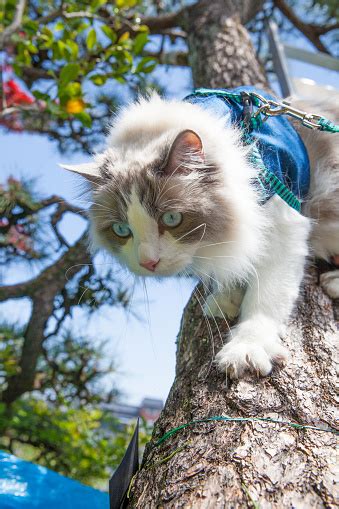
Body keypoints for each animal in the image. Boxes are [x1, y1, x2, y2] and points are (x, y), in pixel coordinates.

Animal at [61, 90, 339, 378]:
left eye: (172, 219)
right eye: (121, 230)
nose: (148, 263)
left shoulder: (285, 226)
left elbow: (265, 300)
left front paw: (246, 349)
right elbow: (230, 262)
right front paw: (226, 298)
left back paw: (333, 282)